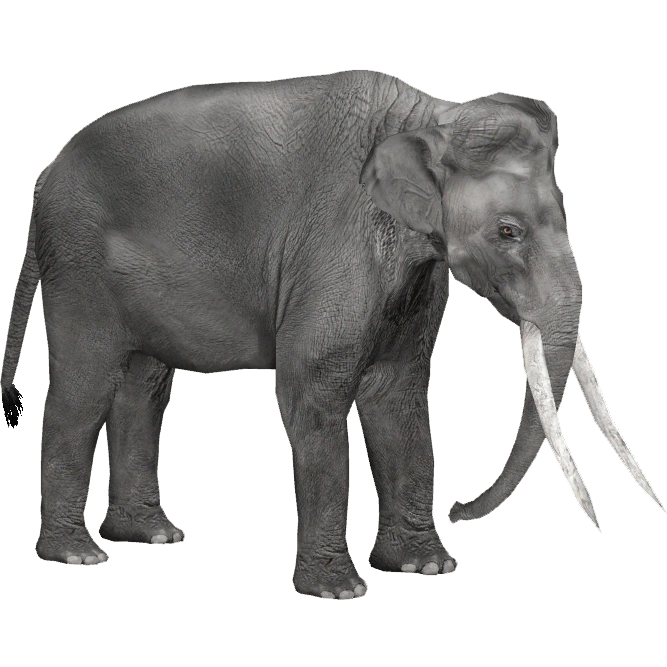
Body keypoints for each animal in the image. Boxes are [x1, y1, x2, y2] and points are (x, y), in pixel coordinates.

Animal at [1, 70, 661, 599]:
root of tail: (41, 180)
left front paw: (424, 569)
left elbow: (398, 389)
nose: (460, 508)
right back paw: (79, 555)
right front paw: (339, 591)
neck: (425, 116)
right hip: (81, 267)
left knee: (142, 383)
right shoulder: (337, 247)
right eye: (507, 231)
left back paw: (151, 533)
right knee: (85, 385)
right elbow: (313, 388)